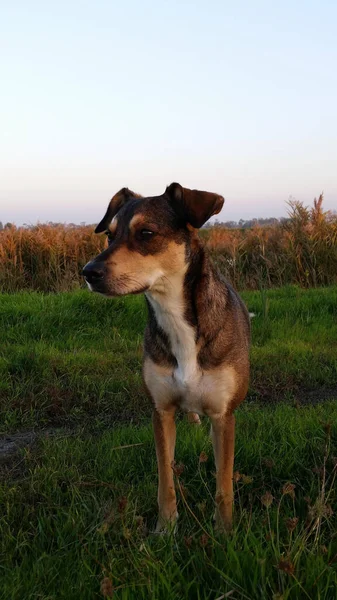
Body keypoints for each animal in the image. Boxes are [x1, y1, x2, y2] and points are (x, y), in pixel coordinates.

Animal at [82, 185, 249, 532]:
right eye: (110, 236)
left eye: (146, 233)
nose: (88, 272)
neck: (174, 316)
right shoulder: (161, 412)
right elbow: (165, 478)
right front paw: (166, 528)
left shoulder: (224, 415)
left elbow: (224, 481)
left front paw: (224, 531)